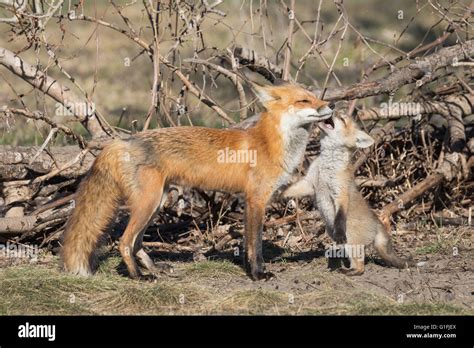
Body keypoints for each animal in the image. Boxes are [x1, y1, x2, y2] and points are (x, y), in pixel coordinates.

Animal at [62, 82, 334, 280]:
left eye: (316, 97)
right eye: (303, 100)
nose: (331, 104)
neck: (270, 144)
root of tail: (121, 141)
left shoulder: (248, 200)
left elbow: (246, 242)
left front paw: (248, 270)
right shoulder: (257, 199)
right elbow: (255, 244)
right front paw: (258, 274)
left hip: (156, 202)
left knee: (137, 243)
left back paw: (155, 269)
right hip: (147, 203)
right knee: (124, 242)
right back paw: (138, 277)